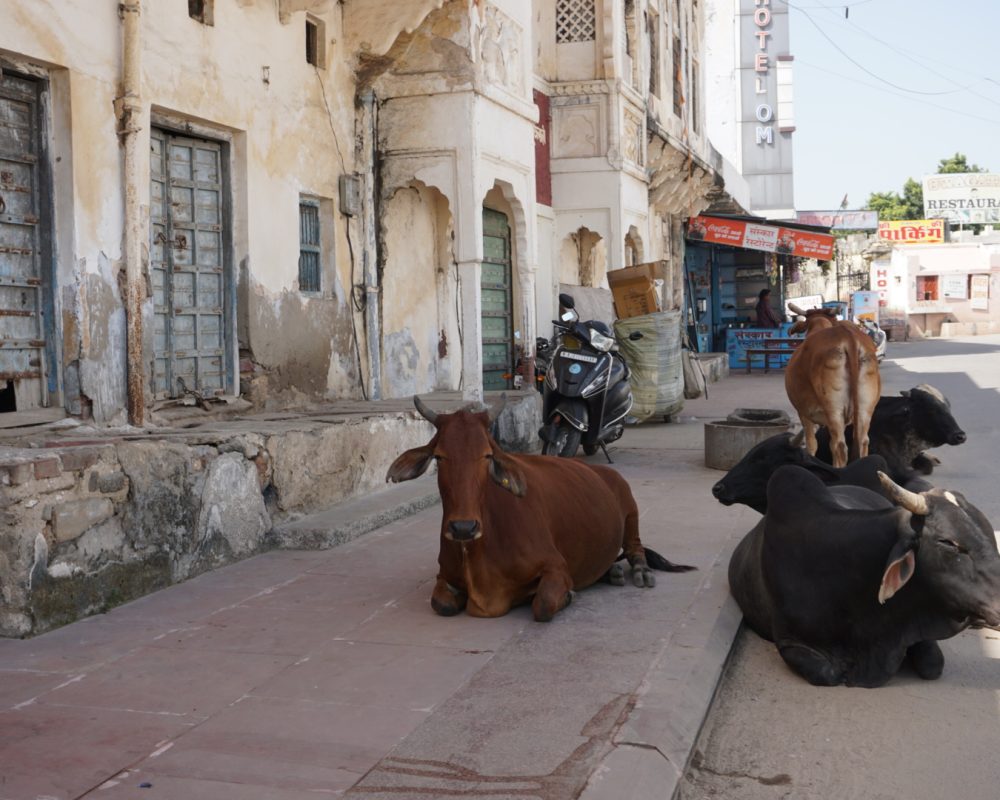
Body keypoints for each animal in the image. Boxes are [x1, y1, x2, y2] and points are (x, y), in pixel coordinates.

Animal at [386, 396, 694, 622]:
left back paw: (639, 571)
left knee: (635, 548)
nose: (463, 527)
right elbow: (442, 604)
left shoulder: (556, 567)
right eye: (439, 457)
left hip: (630, 510)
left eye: (487, 455)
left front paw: (566, 596)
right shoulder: (444, 576)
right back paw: (612, 572)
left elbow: (543, 605)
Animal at [785, 306, 880, 468]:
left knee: (839, 447)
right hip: (865, 409)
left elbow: (812, 444)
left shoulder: (804, 412)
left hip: (833, 409)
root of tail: (848, 337)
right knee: (862, 441)